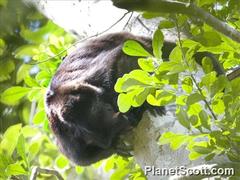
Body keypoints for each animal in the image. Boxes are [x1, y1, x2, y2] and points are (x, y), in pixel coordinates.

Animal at [45, 31, 223, 165]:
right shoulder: (65, 137)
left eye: (105, 109)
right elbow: (80, 157)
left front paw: (144, 102)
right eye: (91, 138)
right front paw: (115, 143)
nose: (122, 121)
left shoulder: (91, 77)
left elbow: (118, 57)